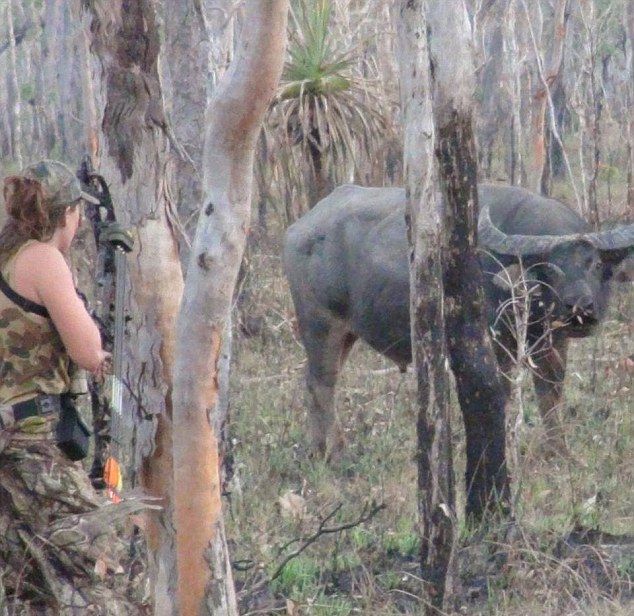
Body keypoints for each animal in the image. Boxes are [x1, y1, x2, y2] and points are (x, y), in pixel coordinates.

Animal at [284, 185, 628, 454]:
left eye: (595, 264)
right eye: (547, 271)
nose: (579, 307)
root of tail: (300, 228)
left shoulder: (552, 344)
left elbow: (550, 396)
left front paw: (559, 451)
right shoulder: (497, 348)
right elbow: (501, 397)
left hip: (346, 334)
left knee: (315, 382)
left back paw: (319, 449)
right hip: (321, 325)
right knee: (321, 384)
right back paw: (335, 452)